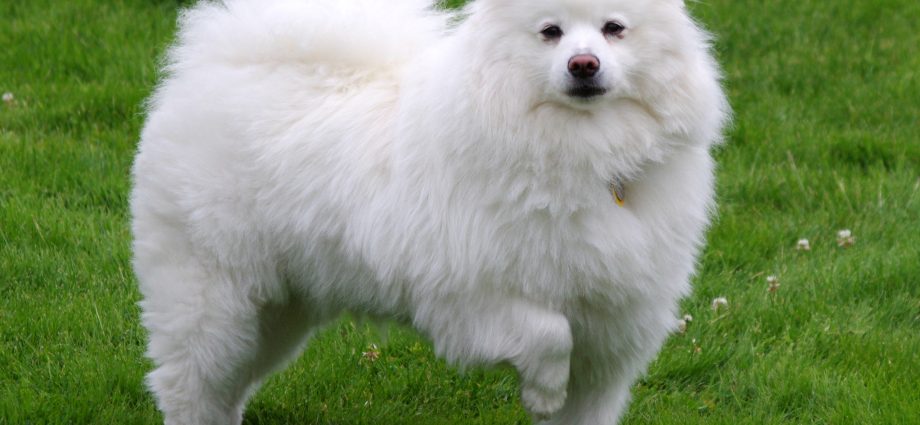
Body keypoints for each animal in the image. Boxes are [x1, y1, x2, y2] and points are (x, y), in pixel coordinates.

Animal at [131, 0, 724, 422]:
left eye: (614, 28)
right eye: (550, 32)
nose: (584, 64)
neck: (587, 152)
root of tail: (210, 68)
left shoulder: (612, 332)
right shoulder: (470, 297)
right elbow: (550, 334)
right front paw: (543, 392)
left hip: (278, 311)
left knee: (226, 391)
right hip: (214, 298)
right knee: (186, 386)